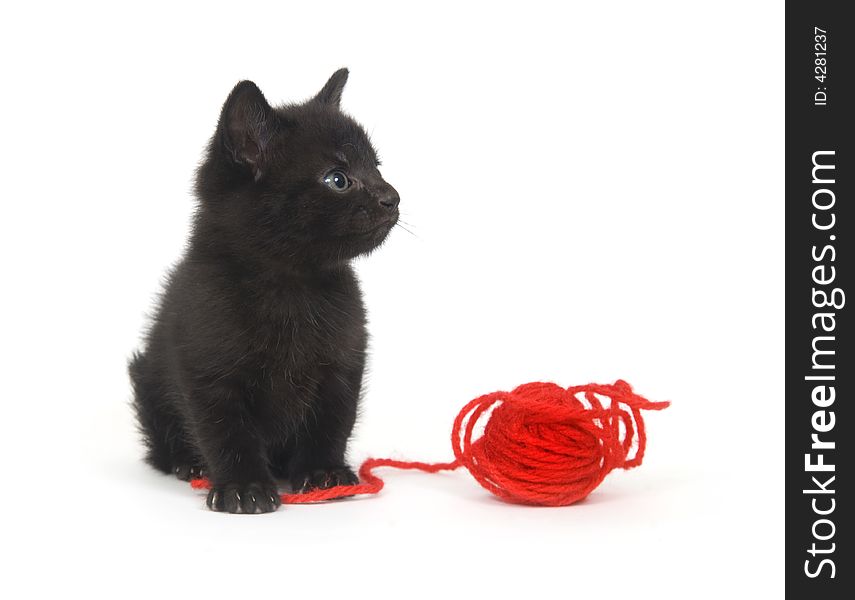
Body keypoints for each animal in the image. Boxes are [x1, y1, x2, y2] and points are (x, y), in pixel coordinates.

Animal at [129, 68, 400, 512]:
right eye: (338, 179)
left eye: (377, 168)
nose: (392, 197)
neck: (291, 286)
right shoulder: (208, 370)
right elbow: (225, 431)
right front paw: (243, 487)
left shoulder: (342, 364)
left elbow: (331, 422)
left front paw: (324, 472)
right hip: (146, 377)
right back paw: (189, 463)